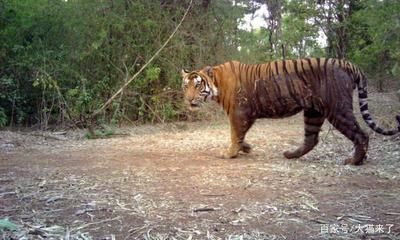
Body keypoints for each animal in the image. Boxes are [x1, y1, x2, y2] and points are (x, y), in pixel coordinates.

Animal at [182, 59, 400, 166]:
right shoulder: (246, 115)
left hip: (337, 109)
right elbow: (240, 134)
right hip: (313, 112)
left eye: (197, 86)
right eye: (186, 86)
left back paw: (354, 161)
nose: (188, 100)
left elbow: (235, 134)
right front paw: (246, 148)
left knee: (361, 134)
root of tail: (348, 64)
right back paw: (291, 154)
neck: (217, 82)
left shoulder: (238, 113)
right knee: (311, 139)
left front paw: (230, 153)